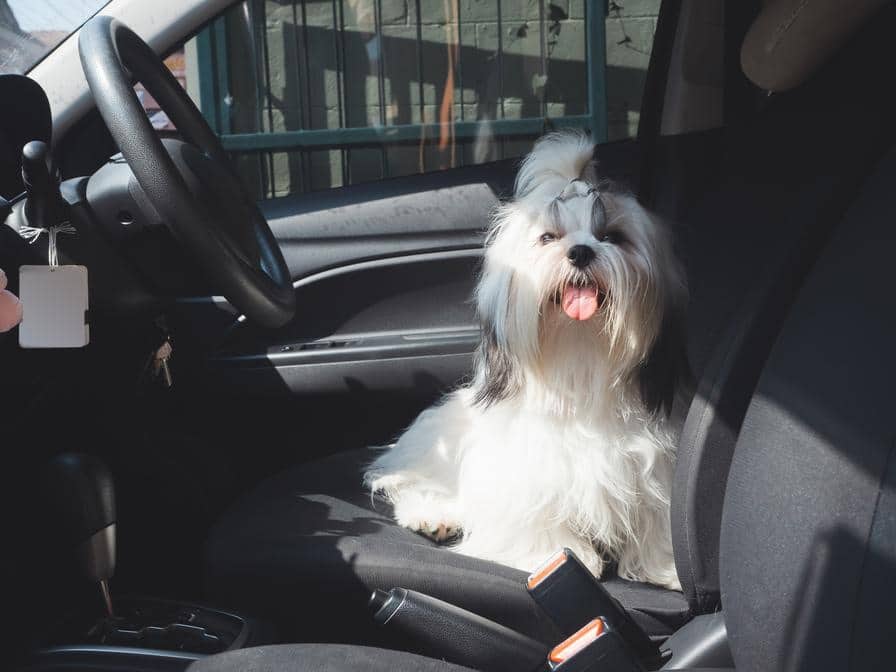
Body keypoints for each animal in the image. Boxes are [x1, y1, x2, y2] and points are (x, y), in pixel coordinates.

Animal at [364, 131, 688, 588]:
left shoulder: (654, 464)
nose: (581, 252)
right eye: (548, 237)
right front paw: (559, 553)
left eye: (613, 236)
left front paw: (666, 566)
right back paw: (432, 515)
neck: (579, 361)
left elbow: (659, 515)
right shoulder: (528, 472)